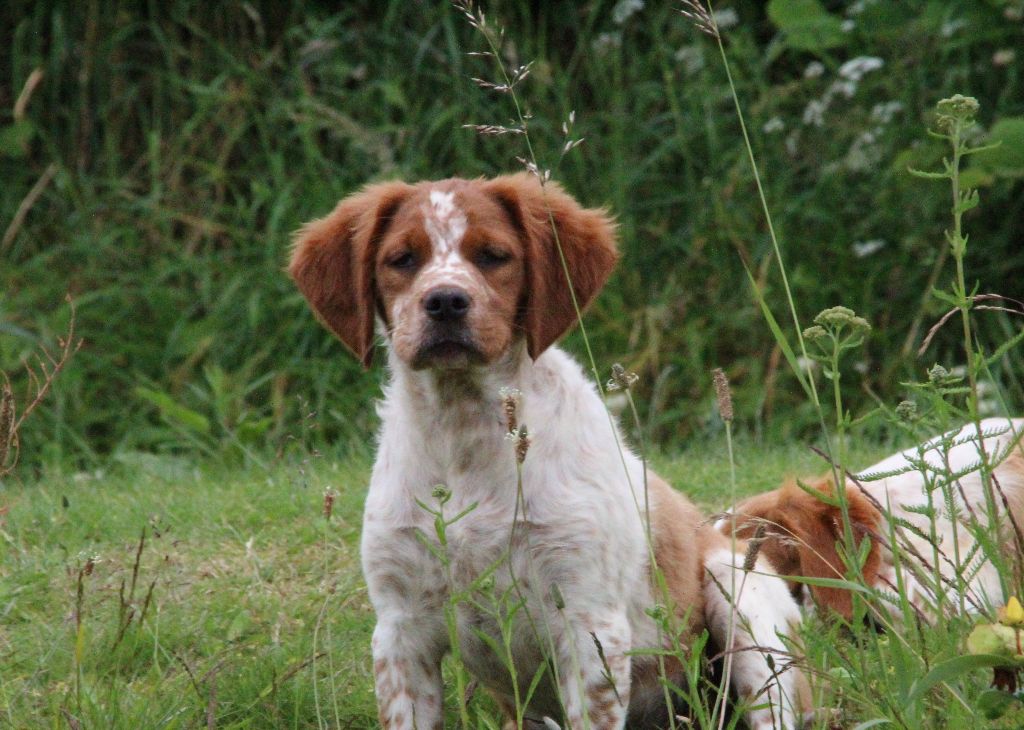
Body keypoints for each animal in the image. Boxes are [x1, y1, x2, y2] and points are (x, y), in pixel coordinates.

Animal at [288, 174, 806, 724]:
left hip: (741, 601)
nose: (446, 301)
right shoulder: (400, 629)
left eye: (494, 255)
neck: (463, 432)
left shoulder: (589, 624)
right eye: (402, 259)